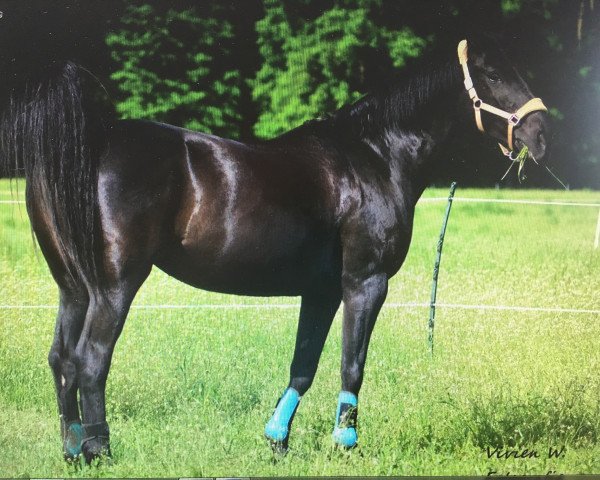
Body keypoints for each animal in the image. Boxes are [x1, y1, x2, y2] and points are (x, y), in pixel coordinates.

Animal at [1, 34, 548, 462]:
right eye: (493, 74)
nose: (541, 134)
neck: (374, 155)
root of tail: (93, 142)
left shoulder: (322, 291)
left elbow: (303, 365)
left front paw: (277, 441)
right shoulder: (365, 283)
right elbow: (352, 363)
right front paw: (345, 445)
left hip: (73, 287)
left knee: (61, 360)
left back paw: (74, 452)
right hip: (114, 287)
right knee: (91, 362)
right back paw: (102, 453)